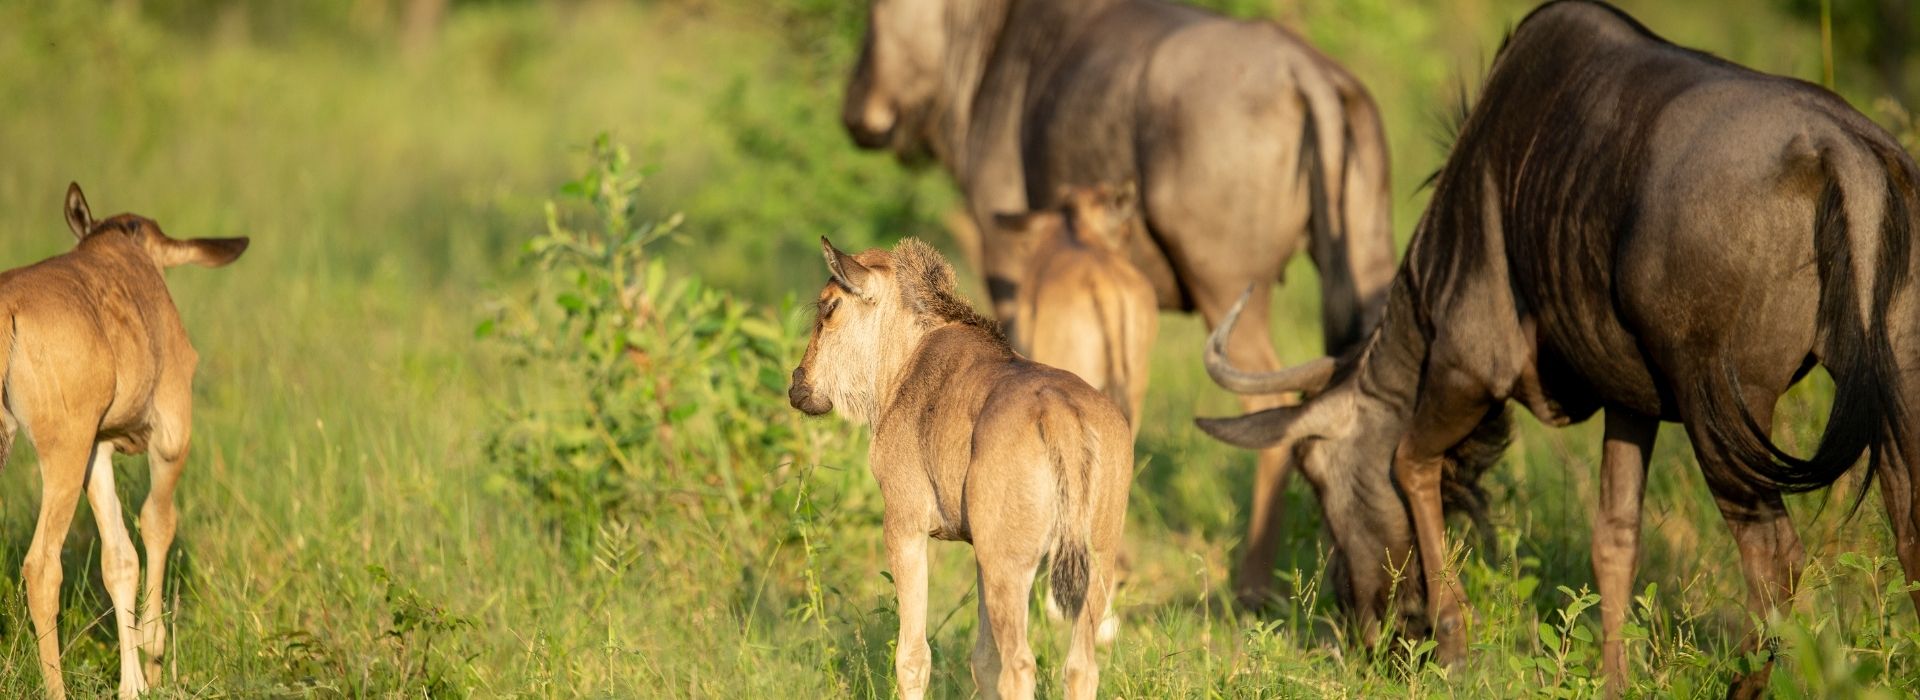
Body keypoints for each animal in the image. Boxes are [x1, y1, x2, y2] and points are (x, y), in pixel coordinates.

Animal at [3, 183, 247, 699]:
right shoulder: (171, 435)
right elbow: (156, 522)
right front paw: (154, 654)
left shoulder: (97, 450)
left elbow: (119, 559)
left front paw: (132, 684)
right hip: (63, 453)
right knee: (42, 566)